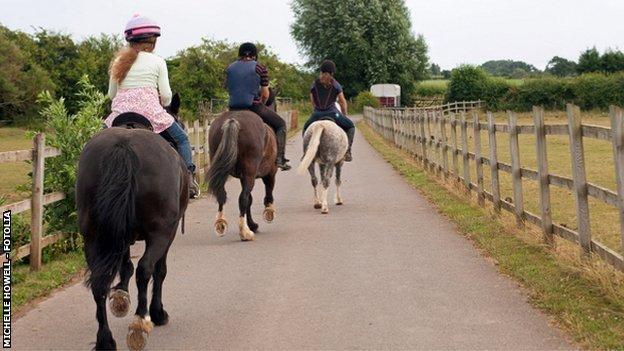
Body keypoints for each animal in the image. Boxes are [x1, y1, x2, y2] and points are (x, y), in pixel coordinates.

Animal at [76, 95, 188, 350]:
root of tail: (123, 147)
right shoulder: (169, 232)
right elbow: (159, 270)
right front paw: (157, 313)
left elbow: (124, 265)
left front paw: (120, 297)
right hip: (160, 233)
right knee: (145, 269)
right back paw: (140, 323)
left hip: (93, 236)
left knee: (99, 281)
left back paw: (105, 339)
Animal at [206, 110, 276, 242]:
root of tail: (233, 120)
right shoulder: (269, 173)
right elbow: (267, 192)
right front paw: (269, 212)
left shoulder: (243, 178)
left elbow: (250, 199)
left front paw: (252, 224)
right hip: (251, 174)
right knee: (243, 198)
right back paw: (244, 233)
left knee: (222, 195)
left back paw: (221, 224)